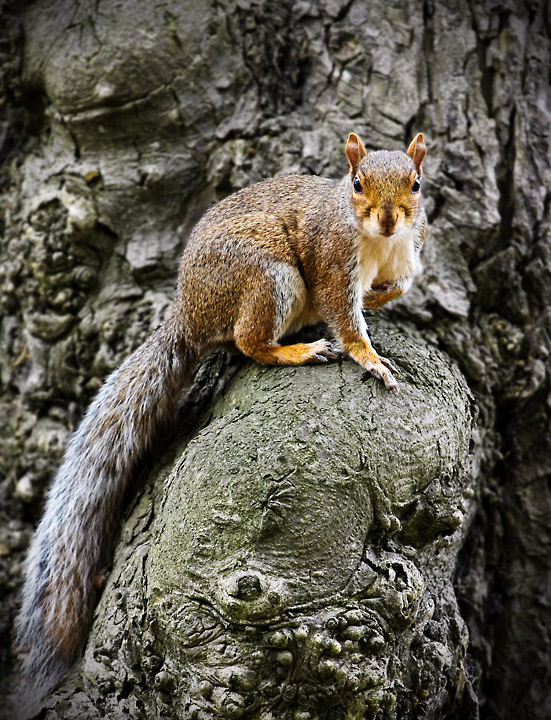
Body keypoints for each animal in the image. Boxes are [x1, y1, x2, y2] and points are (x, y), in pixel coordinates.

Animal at [12, 131, 426, 716]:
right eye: (357, 183)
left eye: (416, 184)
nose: (389, 220)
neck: (377, 243)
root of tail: (190, 313)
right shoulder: (331, 264)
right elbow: (346, 320)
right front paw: (369, 359)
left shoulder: (406, 254)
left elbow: (397, 287)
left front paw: (383, 297)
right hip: (267, 277)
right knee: (250, 343)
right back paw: (297, 350)